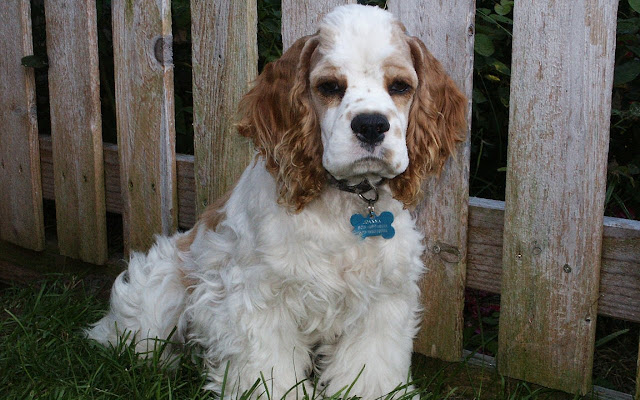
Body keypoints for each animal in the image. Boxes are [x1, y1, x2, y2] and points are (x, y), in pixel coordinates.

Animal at [86, 3, 464, 400]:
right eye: (329, 86)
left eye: (400, 86)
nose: (371, 125)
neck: (346, 203)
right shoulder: (259, 297)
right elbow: (268, 368)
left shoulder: (382, 297)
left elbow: (370, 367)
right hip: (160, 289)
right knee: (130, 337)